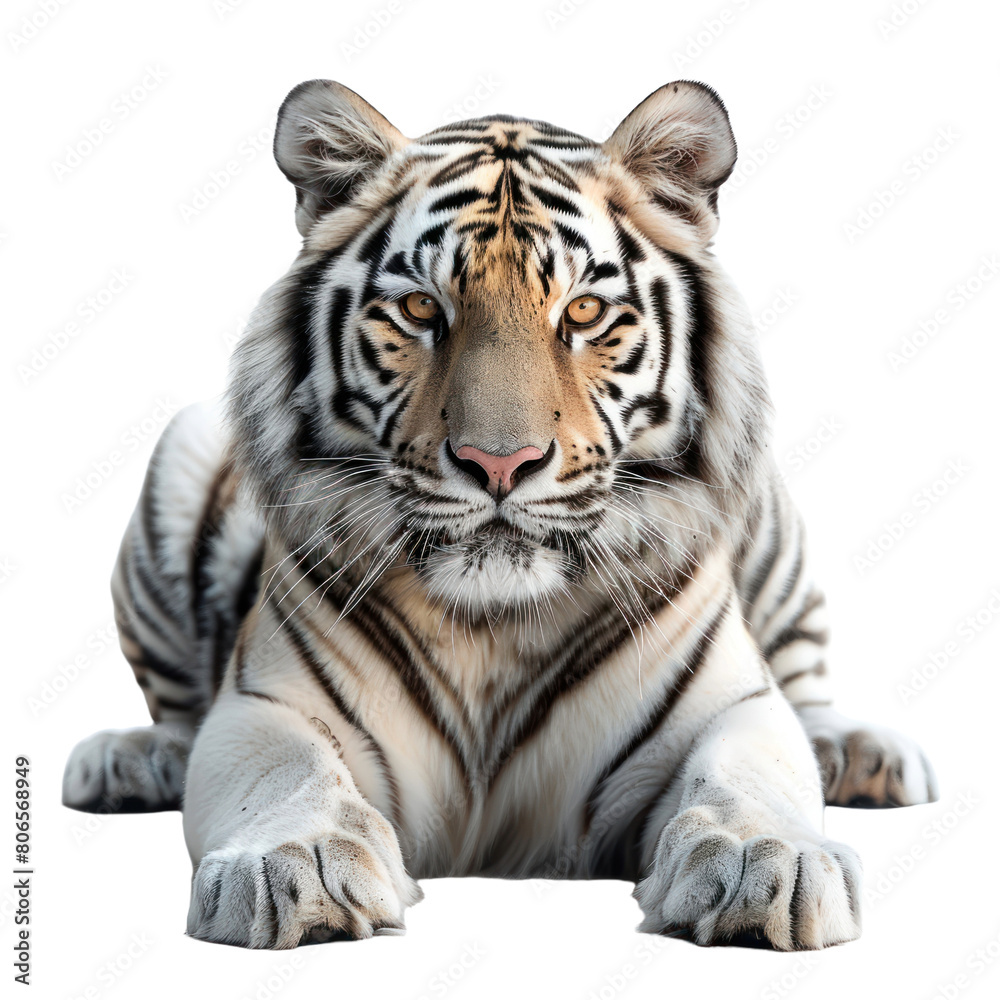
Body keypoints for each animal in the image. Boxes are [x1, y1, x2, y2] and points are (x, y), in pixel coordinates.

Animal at [62, 79, 938, 951]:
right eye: (421, 309)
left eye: (582, 314)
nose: (498, 464)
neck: (494, 625)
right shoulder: (266, 706)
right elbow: (289, 771)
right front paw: (299, 861)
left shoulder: (730, 710)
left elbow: (745, 771)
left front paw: (767, 860)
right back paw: (126, 759)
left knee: (804, 682)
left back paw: (862, 754)